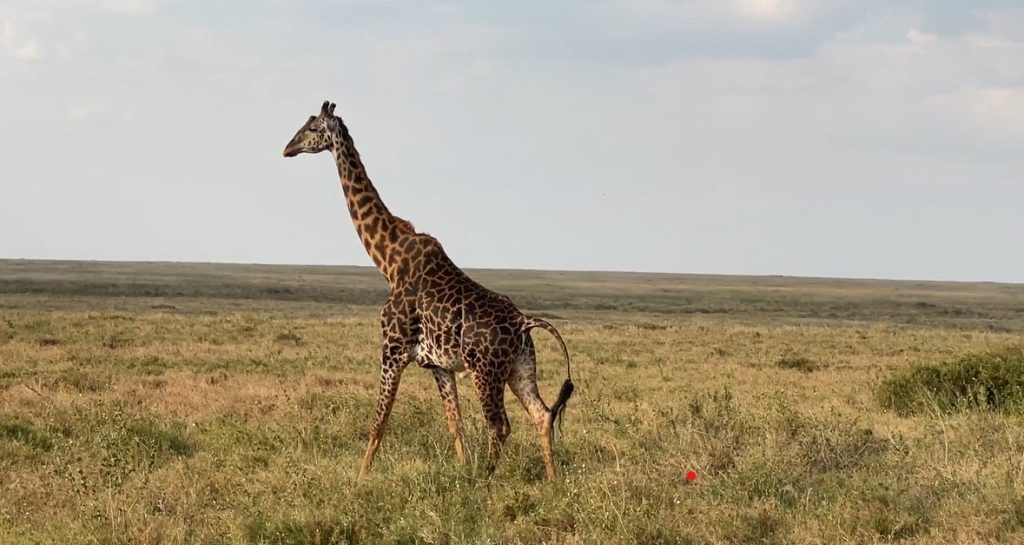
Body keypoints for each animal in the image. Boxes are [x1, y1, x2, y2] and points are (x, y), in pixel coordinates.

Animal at [283, 101, 574, 479]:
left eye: (312, 128)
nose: (287, 148)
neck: (389, 261)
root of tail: (524, 323)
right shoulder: (439, 365)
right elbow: (455, 425)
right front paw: (462, 470)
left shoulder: (392, 349)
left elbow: (380, 420)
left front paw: (360, 477)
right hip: (520, 367)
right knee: (542, 414)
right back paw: (551, 482)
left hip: (485, 370)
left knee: (499, 425)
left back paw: (486, 480)